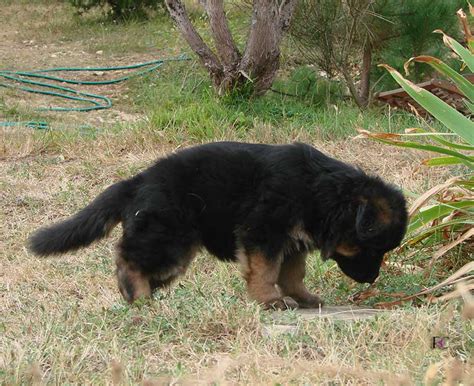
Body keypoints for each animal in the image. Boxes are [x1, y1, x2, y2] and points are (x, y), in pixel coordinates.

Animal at [28, 142, 408, 308]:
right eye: (371, 248)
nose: (372, 279)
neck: (322, 192)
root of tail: (138, 181)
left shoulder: (291, 242)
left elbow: (292, 274)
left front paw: (301, 298)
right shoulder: (263, 234)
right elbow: (266, 272)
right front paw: (270, 301)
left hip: (171, 251)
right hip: (170, 239)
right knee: (128, 258)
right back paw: (138, 295)